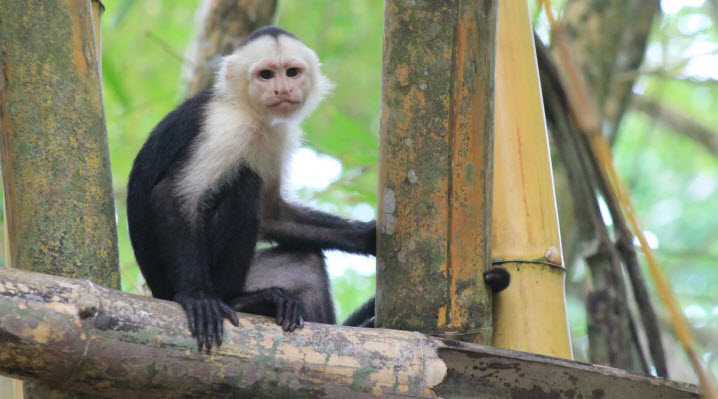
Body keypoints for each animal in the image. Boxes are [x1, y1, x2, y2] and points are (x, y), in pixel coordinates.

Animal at [127, 27, 376, 354]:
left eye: (292, 72)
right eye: (266, 75)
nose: (282, 90)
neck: (247, 109)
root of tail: (156, 292)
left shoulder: (278, 133)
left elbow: (272, 213)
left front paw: (368, 237)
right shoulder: (225, 126)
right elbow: (173, 195)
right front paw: (197, 297)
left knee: (306, 262)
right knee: (244, 181)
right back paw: (237, 300)